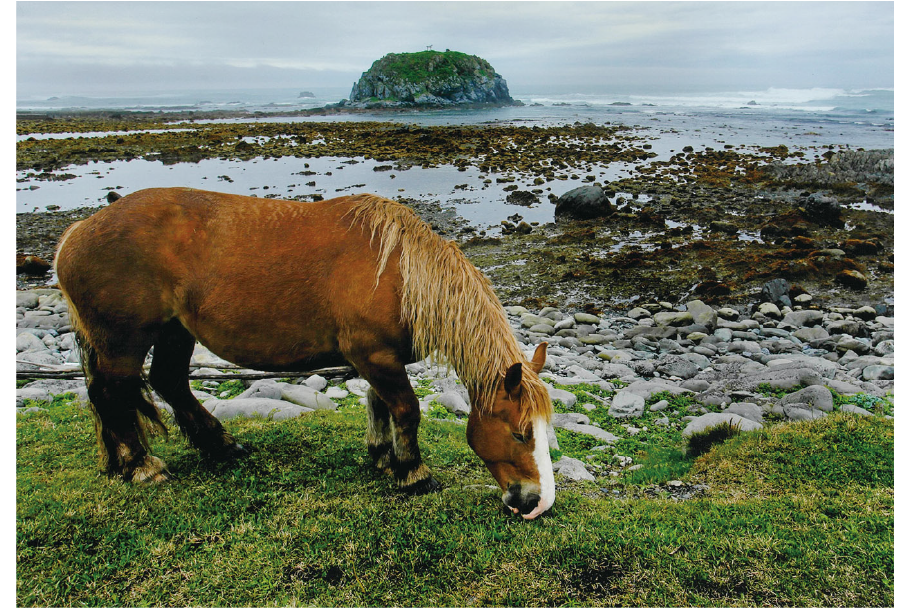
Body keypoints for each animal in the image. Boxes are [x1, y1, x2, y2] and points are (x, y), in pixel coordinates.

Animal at [55, 189, 556, 516]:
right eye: (518, 434)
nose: (538, 503)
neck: (398, 273)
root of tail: (77, 232)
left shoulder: (376, 360)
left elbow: (379, 404)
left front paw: (382, 456)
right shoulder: (375, 356)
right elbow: (406, 409)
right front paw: (413, 473)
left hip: (175, 332)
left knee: (169, 383)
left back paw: (221, 446)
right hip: (122, 342)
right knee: (114, 394)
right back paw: (141, 466)